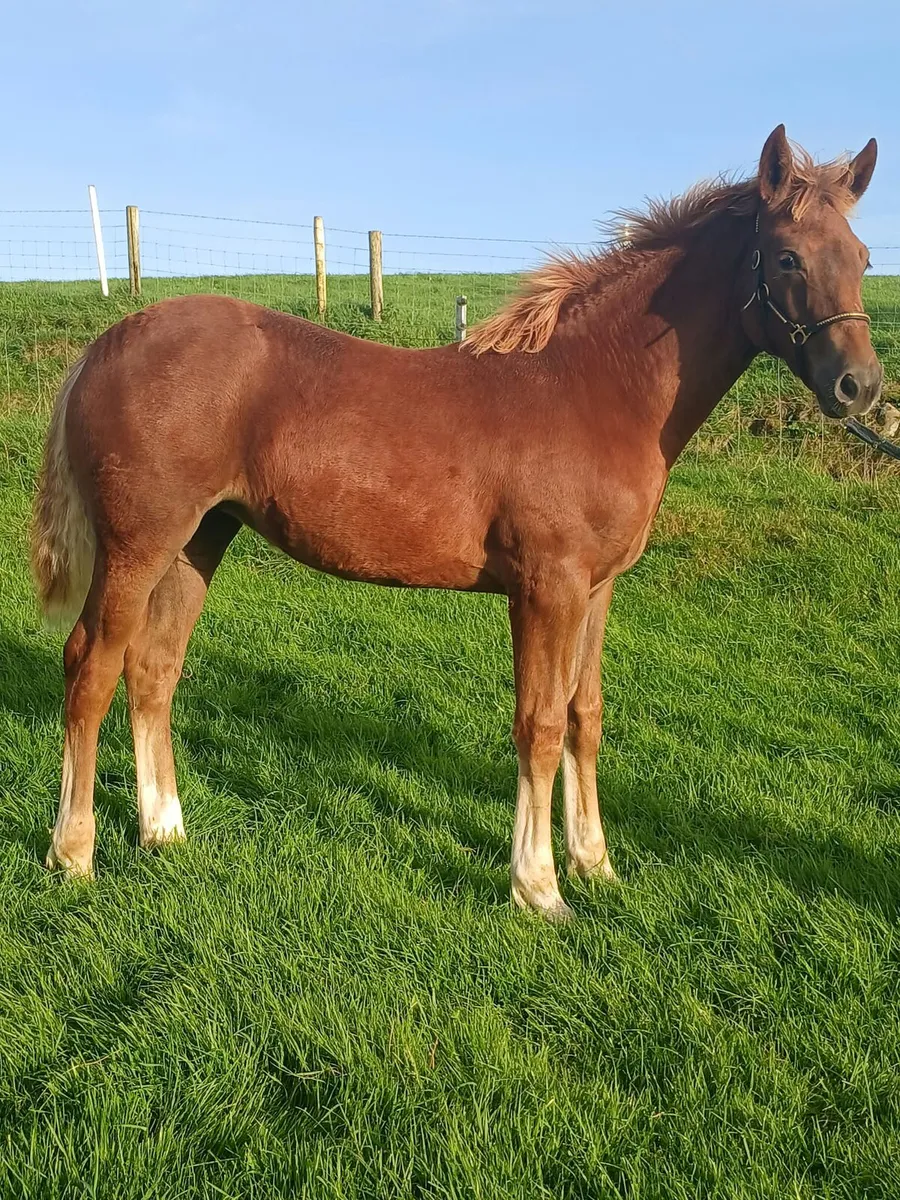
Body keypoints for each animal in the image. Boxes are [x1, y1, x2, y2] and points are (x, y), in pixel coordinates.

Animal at [31, 125, 881, 919]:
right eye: (787, 259)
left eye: (864, 256)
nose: (861, 387)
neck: (592, 387)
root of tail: (108, 343)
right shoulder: (547, 589)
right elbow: (539, 725)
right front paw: (539, 888)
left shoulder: (597, 589)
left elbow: (586, 716)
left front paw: (595, 864)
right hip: (138, 545)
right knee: (90, 667)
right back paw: (73, 853)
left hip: (199, 541)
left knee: (153, 669)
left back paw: (164, 832)